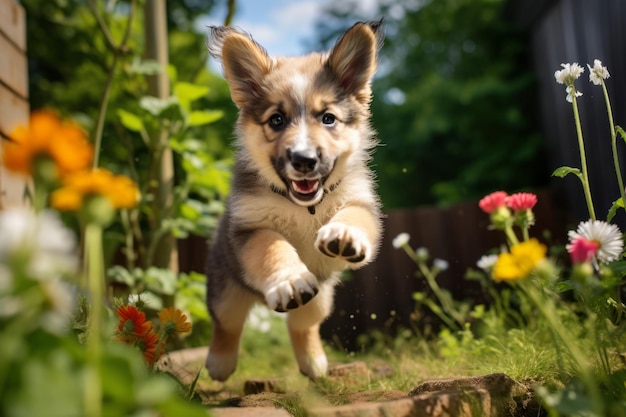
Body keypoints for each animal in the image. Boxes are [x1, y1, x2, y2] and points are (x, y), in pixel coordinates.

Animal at [205, 22, 382, 380]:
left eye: (328, 118)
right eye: (277, 120)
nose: (304, 160)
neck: (303, 207)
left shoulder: (361, 202)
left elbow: (354, 217)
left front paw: (344, 235)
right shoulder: (251, 228)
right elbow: (272, 248)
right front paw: (289, 279)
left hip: (321, 299)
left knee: (302, 325)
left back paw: (313, 362)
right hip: (225, 291)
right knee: (227, 324)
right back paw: (219, 362)